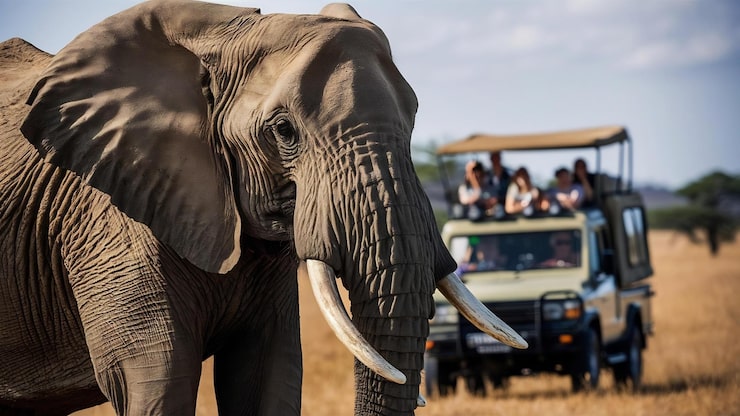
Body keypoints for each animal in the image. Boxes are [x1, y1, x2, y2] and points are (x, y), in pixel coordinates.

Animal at [0, 1, 525, 415]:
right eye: (283, 130)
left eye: (414, 116)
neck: (223, 33)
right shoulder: (110, 226)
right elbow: (157, 383)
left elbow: (269, 374)